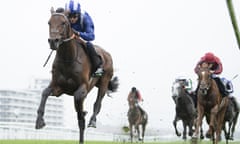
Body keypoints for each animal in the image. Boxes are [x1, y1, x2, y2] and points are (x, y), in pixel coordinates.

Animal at [34, 9, 118, 144]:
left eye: (63, 23)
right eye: (49, 22)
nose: (53, 41)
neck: (68, 59)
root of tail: (107, 54)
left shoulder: (82, 88)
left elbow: (80, 114)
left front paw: (84, 115)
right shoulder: (58, 88)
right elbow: (45, 92)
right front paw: (39, 121)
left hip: (104, 82)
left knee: (97, 103)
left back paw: (92, 120)